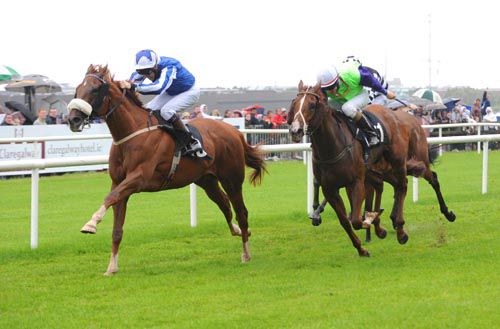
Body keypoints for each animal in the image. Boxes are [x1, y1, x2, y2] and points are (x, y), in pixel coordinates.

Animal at [69, 64, 270, 274]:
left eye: (94, 89)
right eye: (78, 88)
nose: (72, 119)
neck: (132, 133)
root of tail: (235, 132)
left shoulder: (138, 178)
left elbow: (110, 198)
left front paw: (91, 224)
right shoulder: (118, 181)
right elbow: (117, 227)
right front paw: (111, 267)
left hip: (231, 179)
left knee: (241, 212)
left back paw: (246, 253)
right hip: (206, 180)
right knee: (224, 204)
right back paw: (237, 231)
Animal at [290, 82, 458, 256]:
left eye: (311, 105)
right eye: (294, 104)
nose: (295, 130)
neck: (333, 147)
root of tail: (410, 118)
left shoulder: (356, 182)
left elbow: (357, 219)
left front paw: (372, 222)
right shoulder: (330, 189)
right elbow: (345, 221)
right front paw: (362, 248)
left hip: (411, 161)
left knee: (417, 182)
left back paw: (432, 219)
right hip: (388, 171)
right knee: (395, 186)